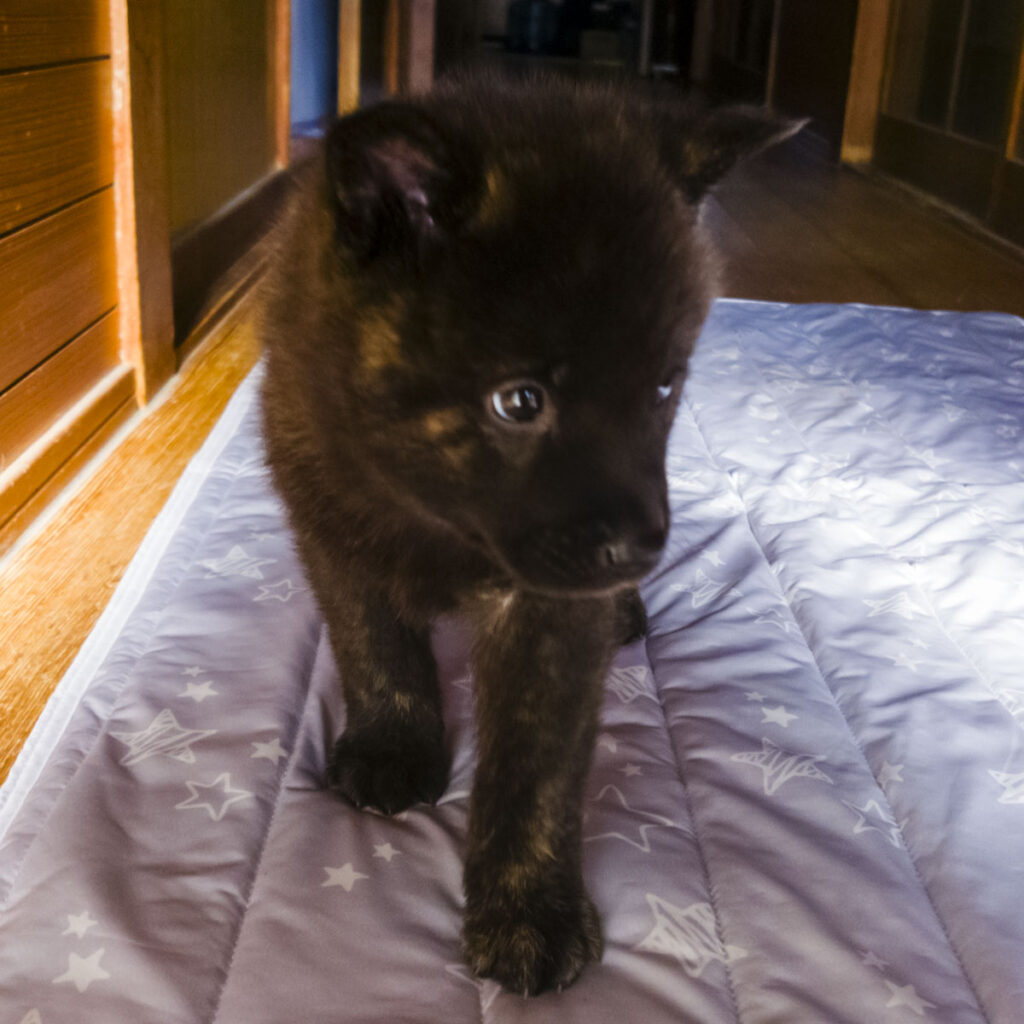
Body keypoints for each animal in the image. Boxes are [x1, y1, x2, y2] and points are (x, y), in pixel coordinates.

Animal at [259, 72, 798, 995]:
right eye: (520, 402)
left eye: (665, 387)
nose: (643, 547)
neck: (437, 521)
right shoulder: (332, 527)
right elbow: (374, 648)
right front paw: (394, 745)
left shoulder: (551, 612)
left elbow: (535, 766)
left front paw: (527, 912)